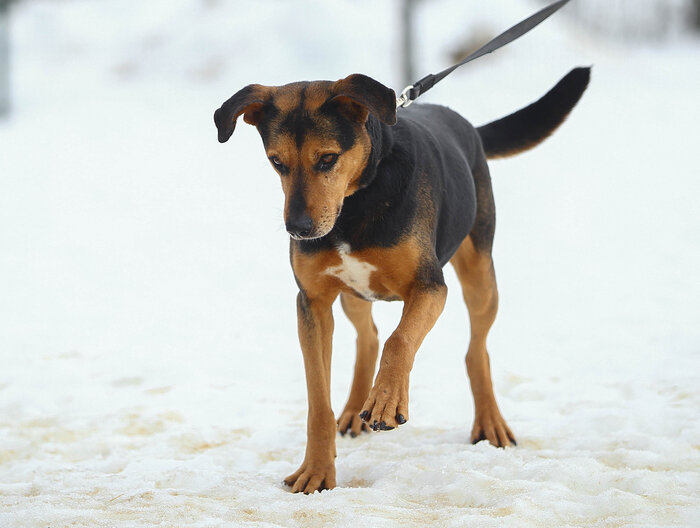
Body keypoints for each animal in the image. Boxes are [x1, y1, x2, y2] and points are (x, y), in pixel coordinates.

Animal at [213, 67, 592, 496]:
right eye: (277, 162)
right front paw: (317, 470)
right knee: (369, 337)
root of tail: (464, 124)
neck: (356, 204)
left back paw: (489, 422)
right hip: (353, 294)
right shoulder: (313, 301)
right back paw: (354, 410)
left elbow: (400, 341)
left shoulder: (429, 287)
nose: (299, 230)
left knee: (475, 350)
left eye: (327, 159)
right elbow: (318, 399)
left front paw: (386, 399)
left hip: (480, 273)